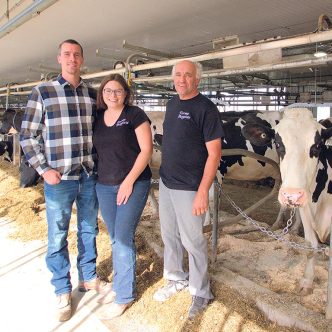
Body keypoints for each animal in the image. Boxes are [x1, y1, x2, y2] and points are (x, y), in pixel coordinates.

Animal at [241, 107, 332, 294]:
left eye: (317, 145)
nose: (292, 195)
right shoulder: (306, 209)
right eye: (277, 144)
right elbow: (310, 245)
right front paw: (306, 282)